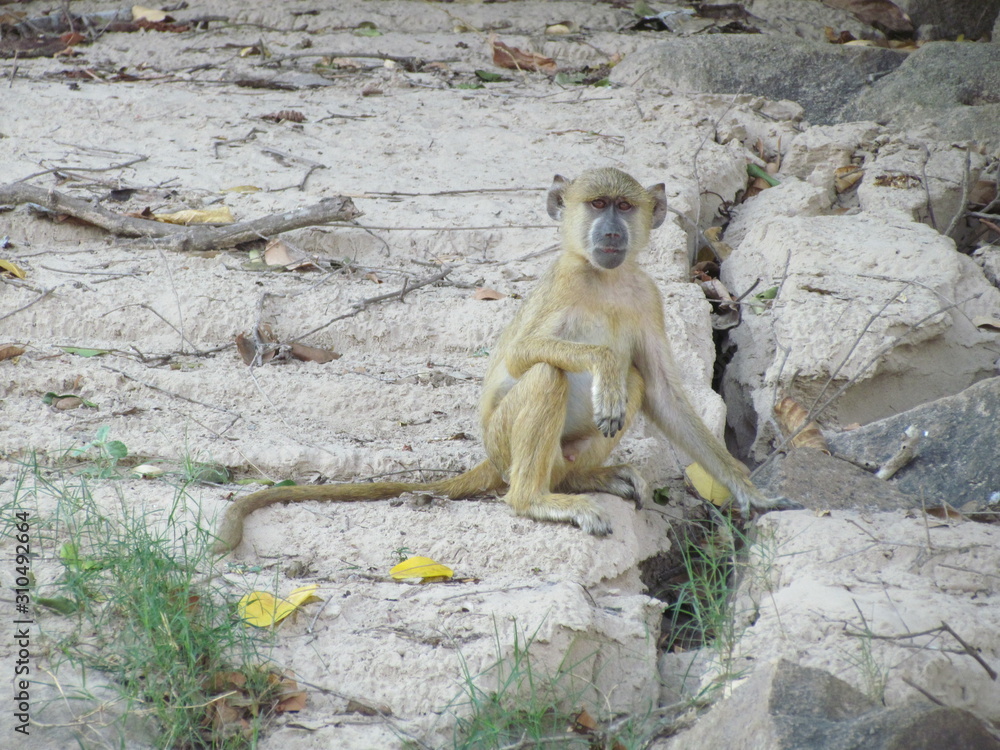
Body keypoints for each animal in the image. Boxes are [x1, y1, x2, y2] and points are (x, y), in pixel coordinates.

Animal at [212, 167, 799, 554]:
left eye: (625, 206)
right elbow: (523, 357)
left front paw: (749, 490)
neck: (603, 279)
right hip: (504, 444)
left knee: (621, 390)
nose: (611, 232)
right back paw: (534, 500)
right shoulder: (560, 288)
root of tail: (497, 464)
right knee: (547, 374)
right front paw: (604, 365)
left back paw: (584, 481)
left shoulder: (647, 296)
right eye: (597, 205)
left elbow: (659, 392)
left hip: (562, 454)